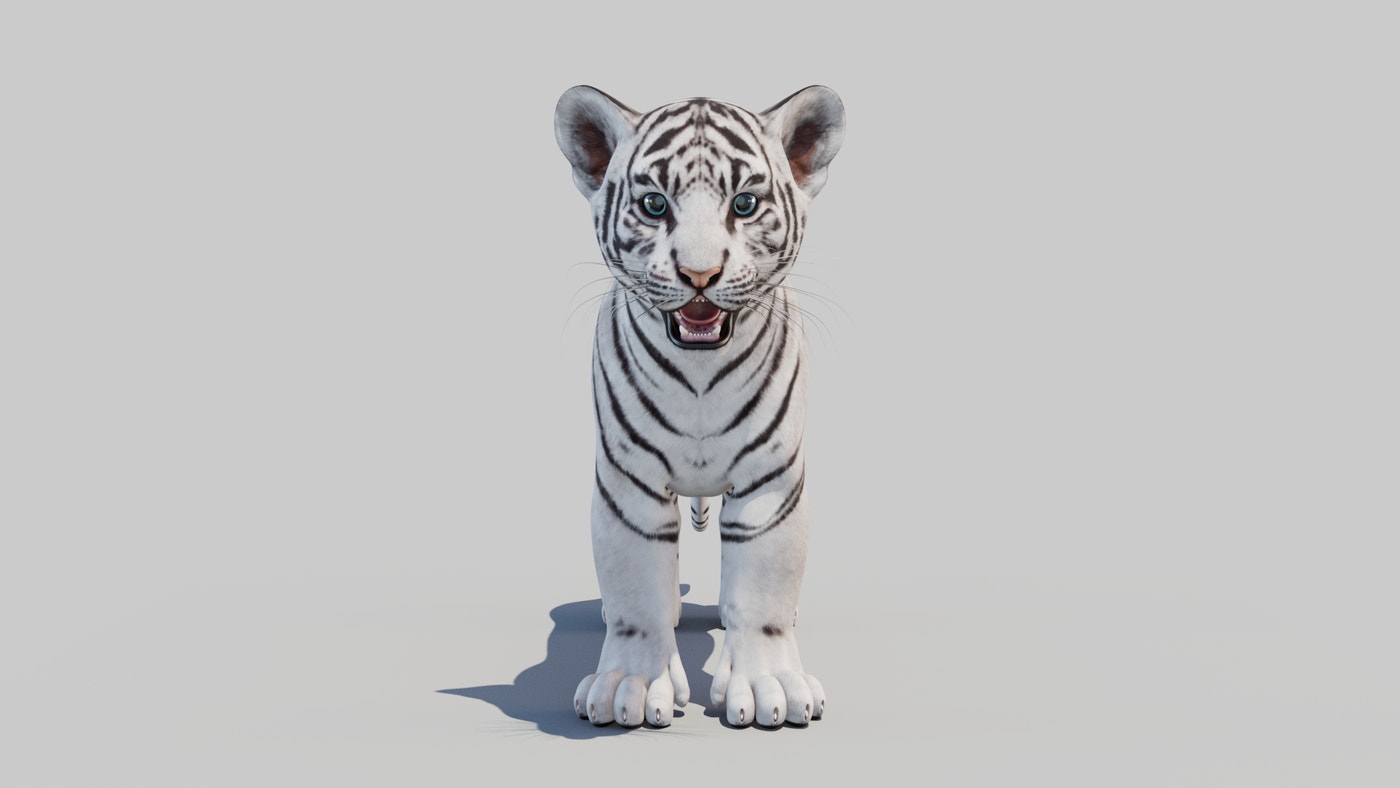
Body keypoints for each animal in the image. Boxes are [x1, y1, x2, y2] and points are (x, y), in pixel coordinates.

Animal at [554, 85, 844, 728]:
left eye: (745, 203)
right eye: (654, 205)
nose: (700, 274)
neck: (700, 374)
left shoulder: (769, 483)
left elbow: (762, 591)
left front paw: (768, 687)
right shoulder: (629, 485)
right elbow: (637, 594)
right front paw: (631, 687)